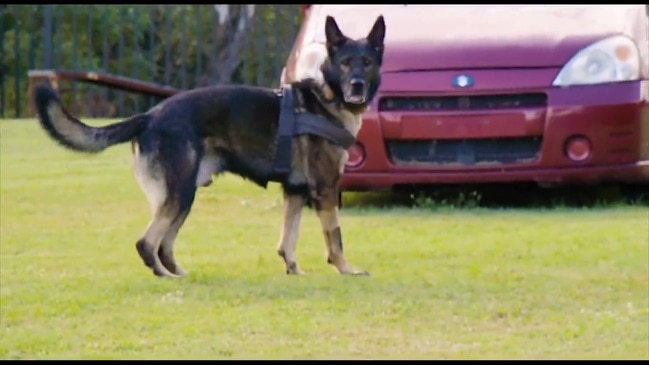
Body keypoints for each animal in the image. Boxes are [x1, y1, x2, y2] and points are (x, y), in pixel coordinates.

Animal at [31, 14, 384, 276]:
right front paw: (346, 269)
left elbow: (288, 239)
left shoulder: (295, 193)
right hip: (180, 192)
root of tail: (149, 115)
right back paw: (167, 277)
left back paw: (179, 272)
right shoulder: (325, 189)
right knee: (147, 243)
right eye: (346, 62)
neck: (328, 97)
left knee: (164, 244)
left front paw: (294, 270)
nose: (357, 85)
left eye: (366, 63)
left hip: (184, 197)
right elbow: (335, 236)